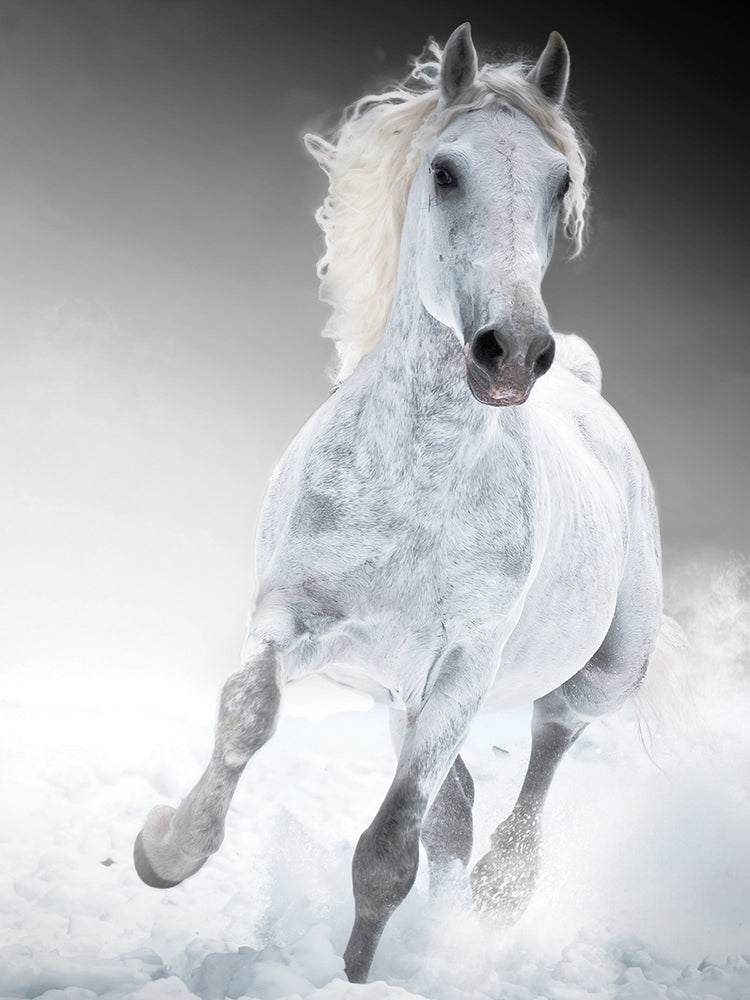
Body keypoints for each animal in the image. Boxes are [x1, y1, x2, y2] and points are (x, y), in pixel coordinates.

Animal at [134, 23, 664, 984]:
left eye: (560, 183)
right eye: (445, 171)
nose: (512, 351)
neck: (415, 484)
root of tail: (586, 387)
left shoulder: (461, 667)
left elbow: (388, 846)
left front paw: (351, 978)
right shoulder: (295, 620)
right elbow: (247, 713)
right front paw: (165, 849)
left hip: (597, 675)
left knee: (549, 742)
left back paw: (499, 896)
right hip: (397, 696)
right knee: (457, 806)